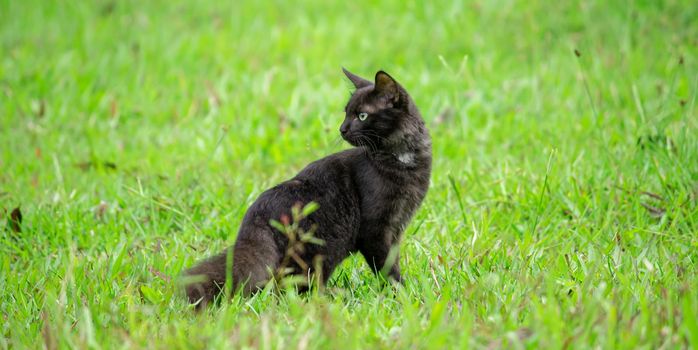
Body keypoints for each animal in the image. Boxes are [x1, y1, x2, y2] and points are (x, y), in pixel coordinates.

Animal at [182, 67, 430, 306]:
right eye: (347, 113)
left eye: (362, 115)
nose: (342, 128)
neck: (402, 160)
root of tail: (255, 216)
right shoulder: (375, 230)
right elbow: (387, 268)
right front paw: (402, 294)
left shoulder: (396, 227)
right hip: (318, 253)